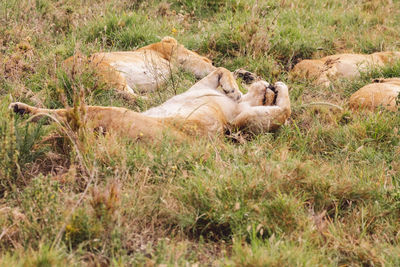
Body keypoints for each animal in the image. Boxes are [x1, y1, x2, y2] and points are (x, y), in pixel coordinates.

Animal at [9, 68, 290, 141]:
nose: (269, 88)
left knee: (58, 118)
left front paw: (281, 87)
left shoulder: (237, 123)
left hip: (105, 112)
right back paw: (20, 109)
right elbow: (222, 69)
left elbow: (283, 112)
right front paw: (236, 84)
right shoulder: (202, 87)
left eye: (267, 98)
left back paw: (22, 122)